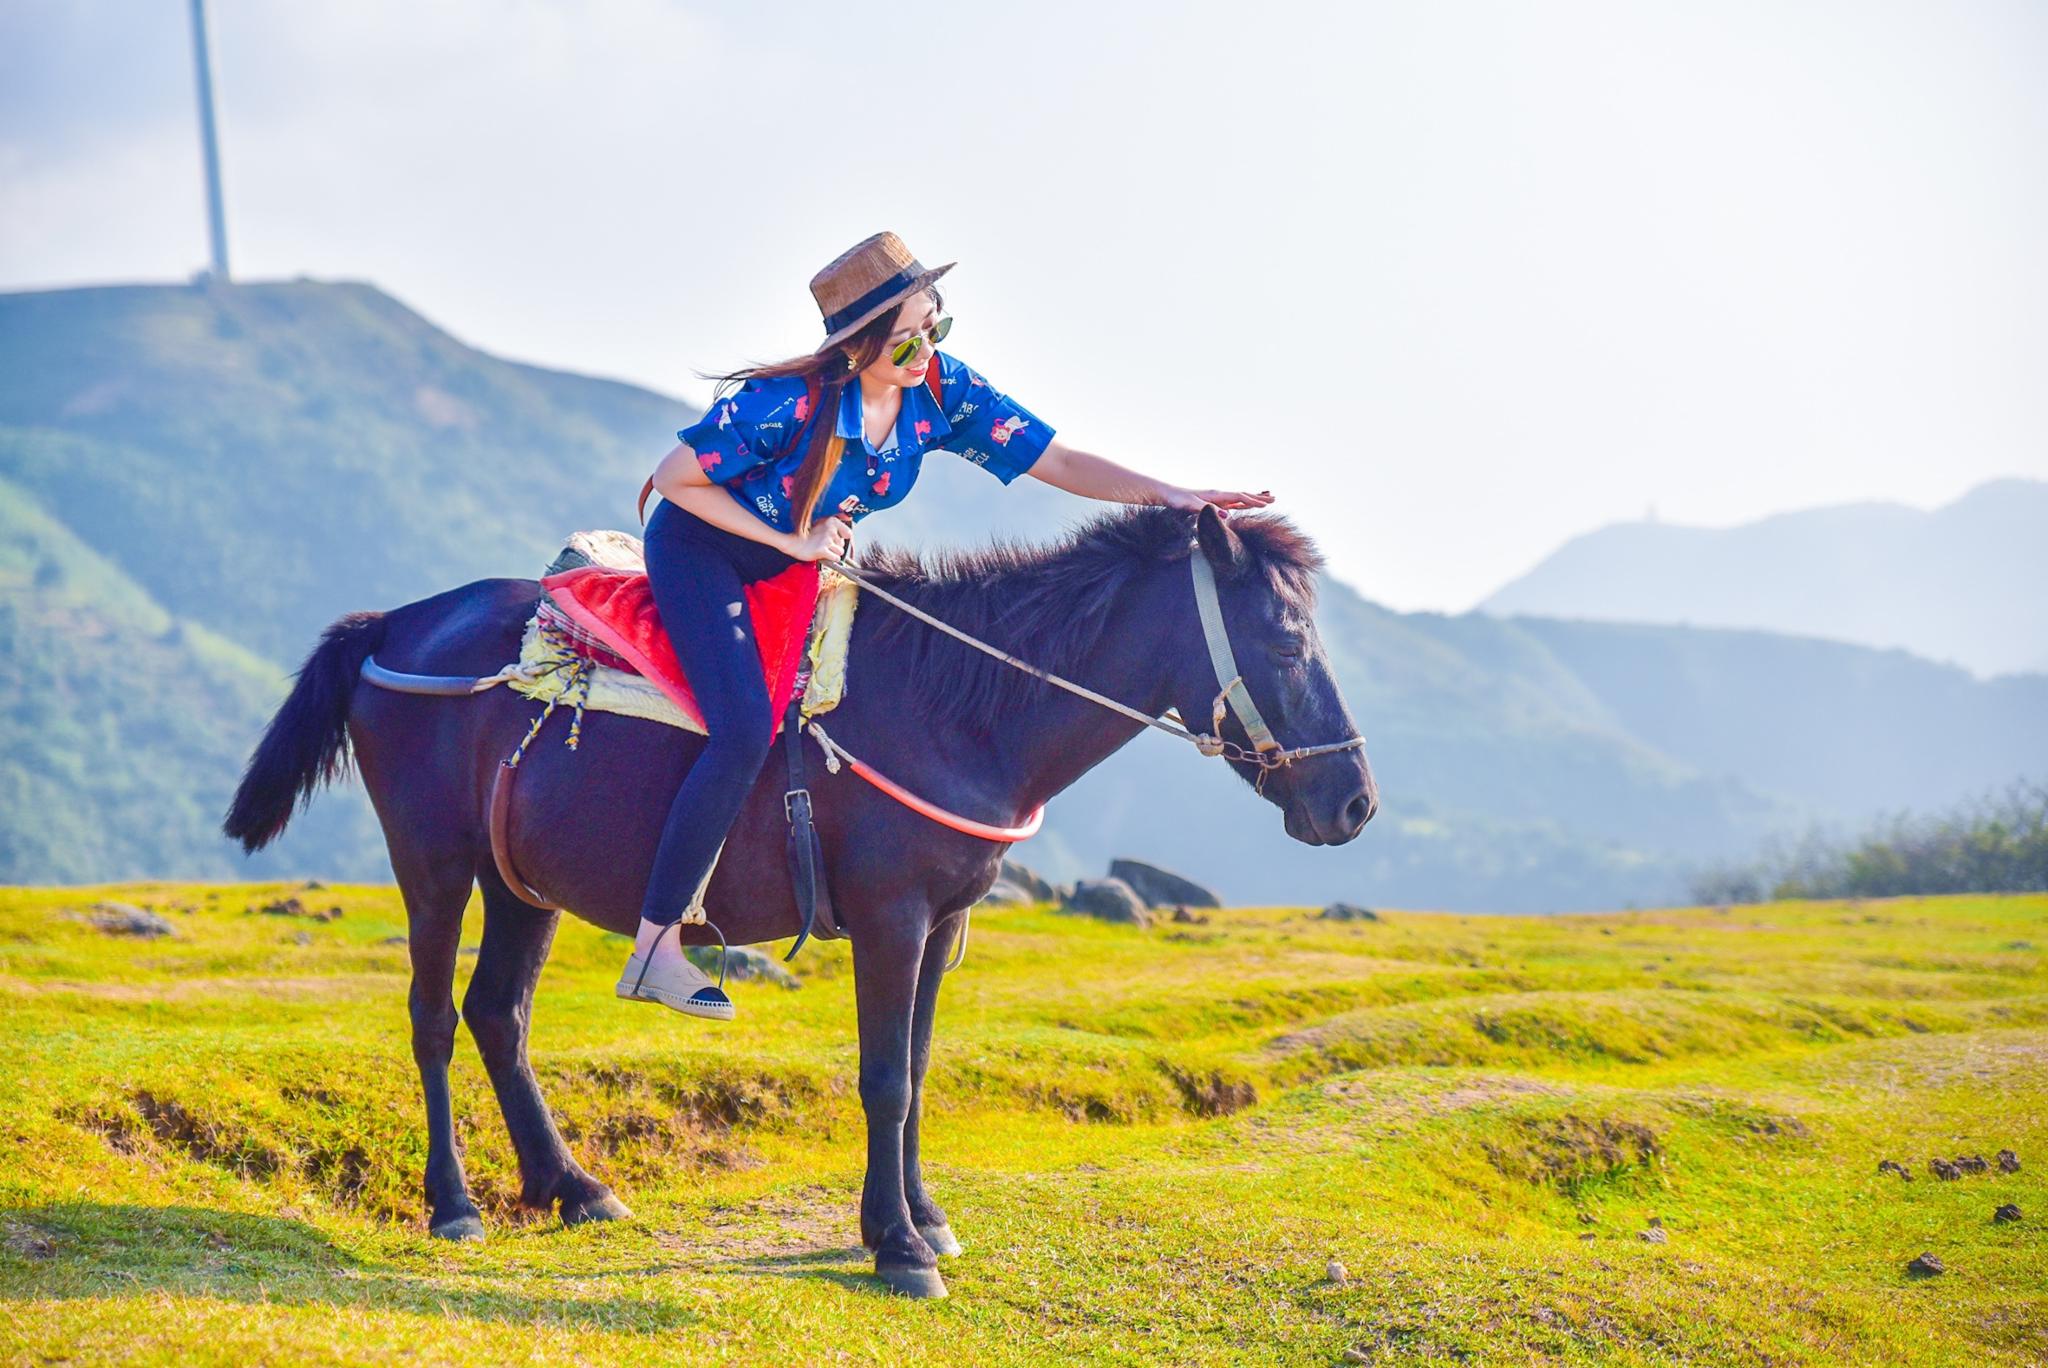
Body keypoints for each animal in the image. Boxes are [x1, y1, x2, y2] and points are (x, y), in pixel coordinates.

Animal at [220, 501, 1376, 1294]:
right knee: (431, 1019)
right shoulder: (891, 918)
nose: (1354, 801)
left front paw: (917, 1217)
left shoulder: (944, 921)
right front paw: (899, 1246)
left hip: (521, 884)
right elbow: (883, 1078)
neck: (958, 709)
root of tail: (395, 626)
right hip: (436, 864)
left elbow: (917, 1068)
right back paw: (454, 1205)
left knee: (496, 1015)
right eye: (1284, 643)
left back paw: (573, 1188)